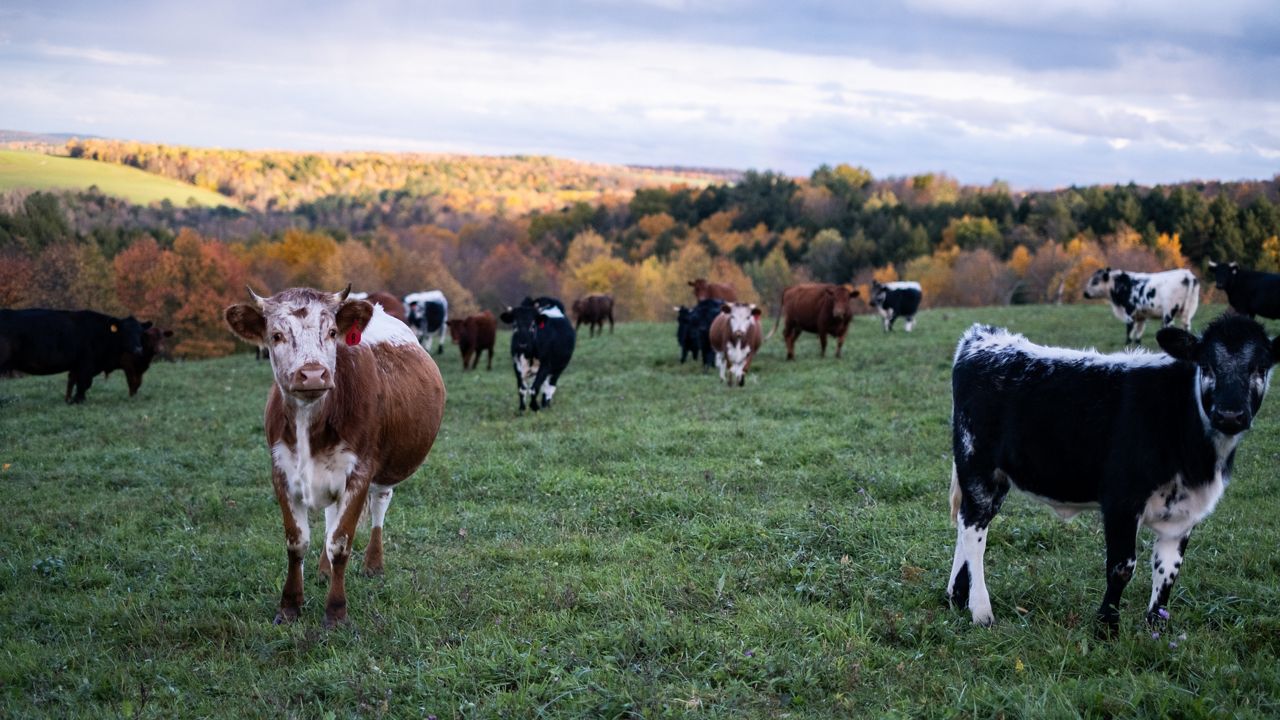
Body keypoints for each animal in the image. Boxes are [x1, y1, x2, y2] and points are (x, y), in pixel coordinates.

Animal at [0, 304, 149, 399]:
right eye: (125, 332)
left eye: (140, 333)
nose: (138, 349)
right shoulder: (86, 364)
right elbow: (83, 383)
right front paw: (78, 401)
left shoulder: (77, 366)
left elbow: (74, 382)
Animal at [227, 283, 448, 625]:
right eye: (276, 335)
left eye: (331, 332)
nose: (313, 374)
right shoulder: (281, 471)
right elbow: (297, 541)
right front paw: (289, 606)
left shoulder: (359, 473)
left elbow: (341, 542)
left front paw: (335, 611)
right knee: (331, 517)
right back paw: (322, 570)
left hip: (385, 469)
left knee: (379, 504)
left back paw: (373, 564)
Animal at [947, 316, 1274, 630]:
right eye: (1206, 365)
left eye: (1261, 367)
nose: (1230, 415)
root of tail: (984, 336)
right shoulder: (1121, 500)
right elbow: (1121, 567)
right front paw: (1106, 627)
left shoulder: (1184, 514)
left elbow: (1168, 572)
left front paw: (1156, 629)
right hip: (978, 466)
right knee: (973, 529)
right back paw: (981, 611)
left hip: (997, 477)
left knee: (970, 524)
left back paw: (957, 596)